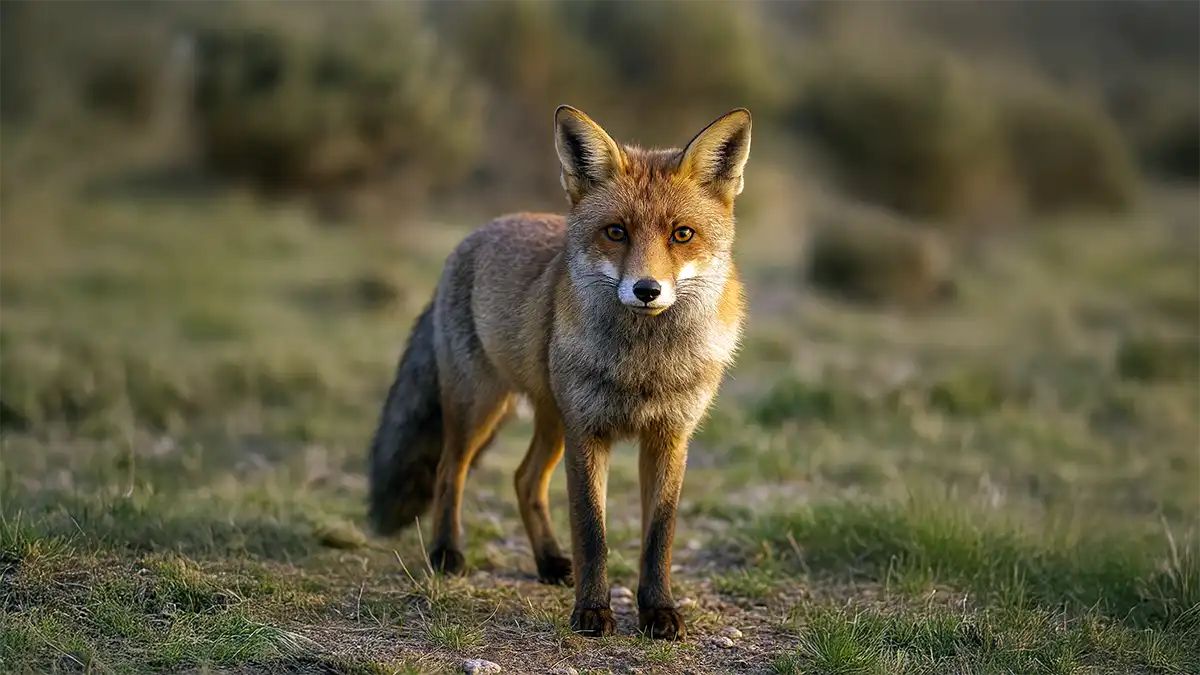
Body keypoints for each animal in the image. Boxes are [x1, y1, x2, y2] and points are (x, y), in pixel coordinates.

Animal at [367, 105, 751, 640]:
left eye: (682, 234)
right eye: (616, 231)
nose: (647, 289)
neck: (644, 368)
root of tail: (472, 237)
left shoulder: (670, 437)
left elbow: (659, 536)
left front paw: (658, 611)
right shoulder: (587, 430)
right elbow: (592, 529)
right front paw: (592, 612)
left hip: (551, 419)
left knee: (524, 479)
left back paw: (549, 561)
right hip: (480, 406)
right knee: (450, 470)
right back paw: (447, 552)